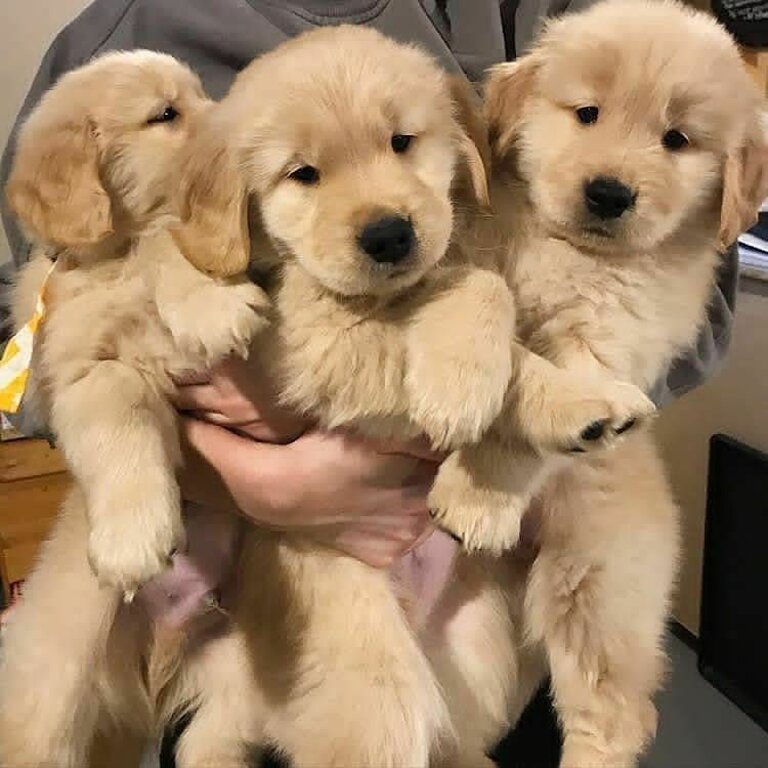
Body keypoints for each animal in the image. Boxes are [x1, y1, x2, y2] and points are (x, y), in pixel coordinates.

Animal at [0, 51, 270, 764]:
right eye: (164, 114)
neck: (110, 258)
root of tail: (153, 678)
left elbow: (174, 238)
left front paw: (207, 300)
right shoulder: (84, 369)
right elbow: (115, 409)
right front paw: (132, 535)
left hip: (239, 683)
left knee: (212, 743)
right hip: (53, 702)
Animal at [468, 3, 768, 764]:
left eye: (676, 139)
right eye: (587, 113)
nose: (608, 193)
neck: (567, 250)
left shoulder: (610, 338)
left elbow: (535, 408)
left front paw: (474, 499)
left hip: (598, 590)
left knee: (615, 712)